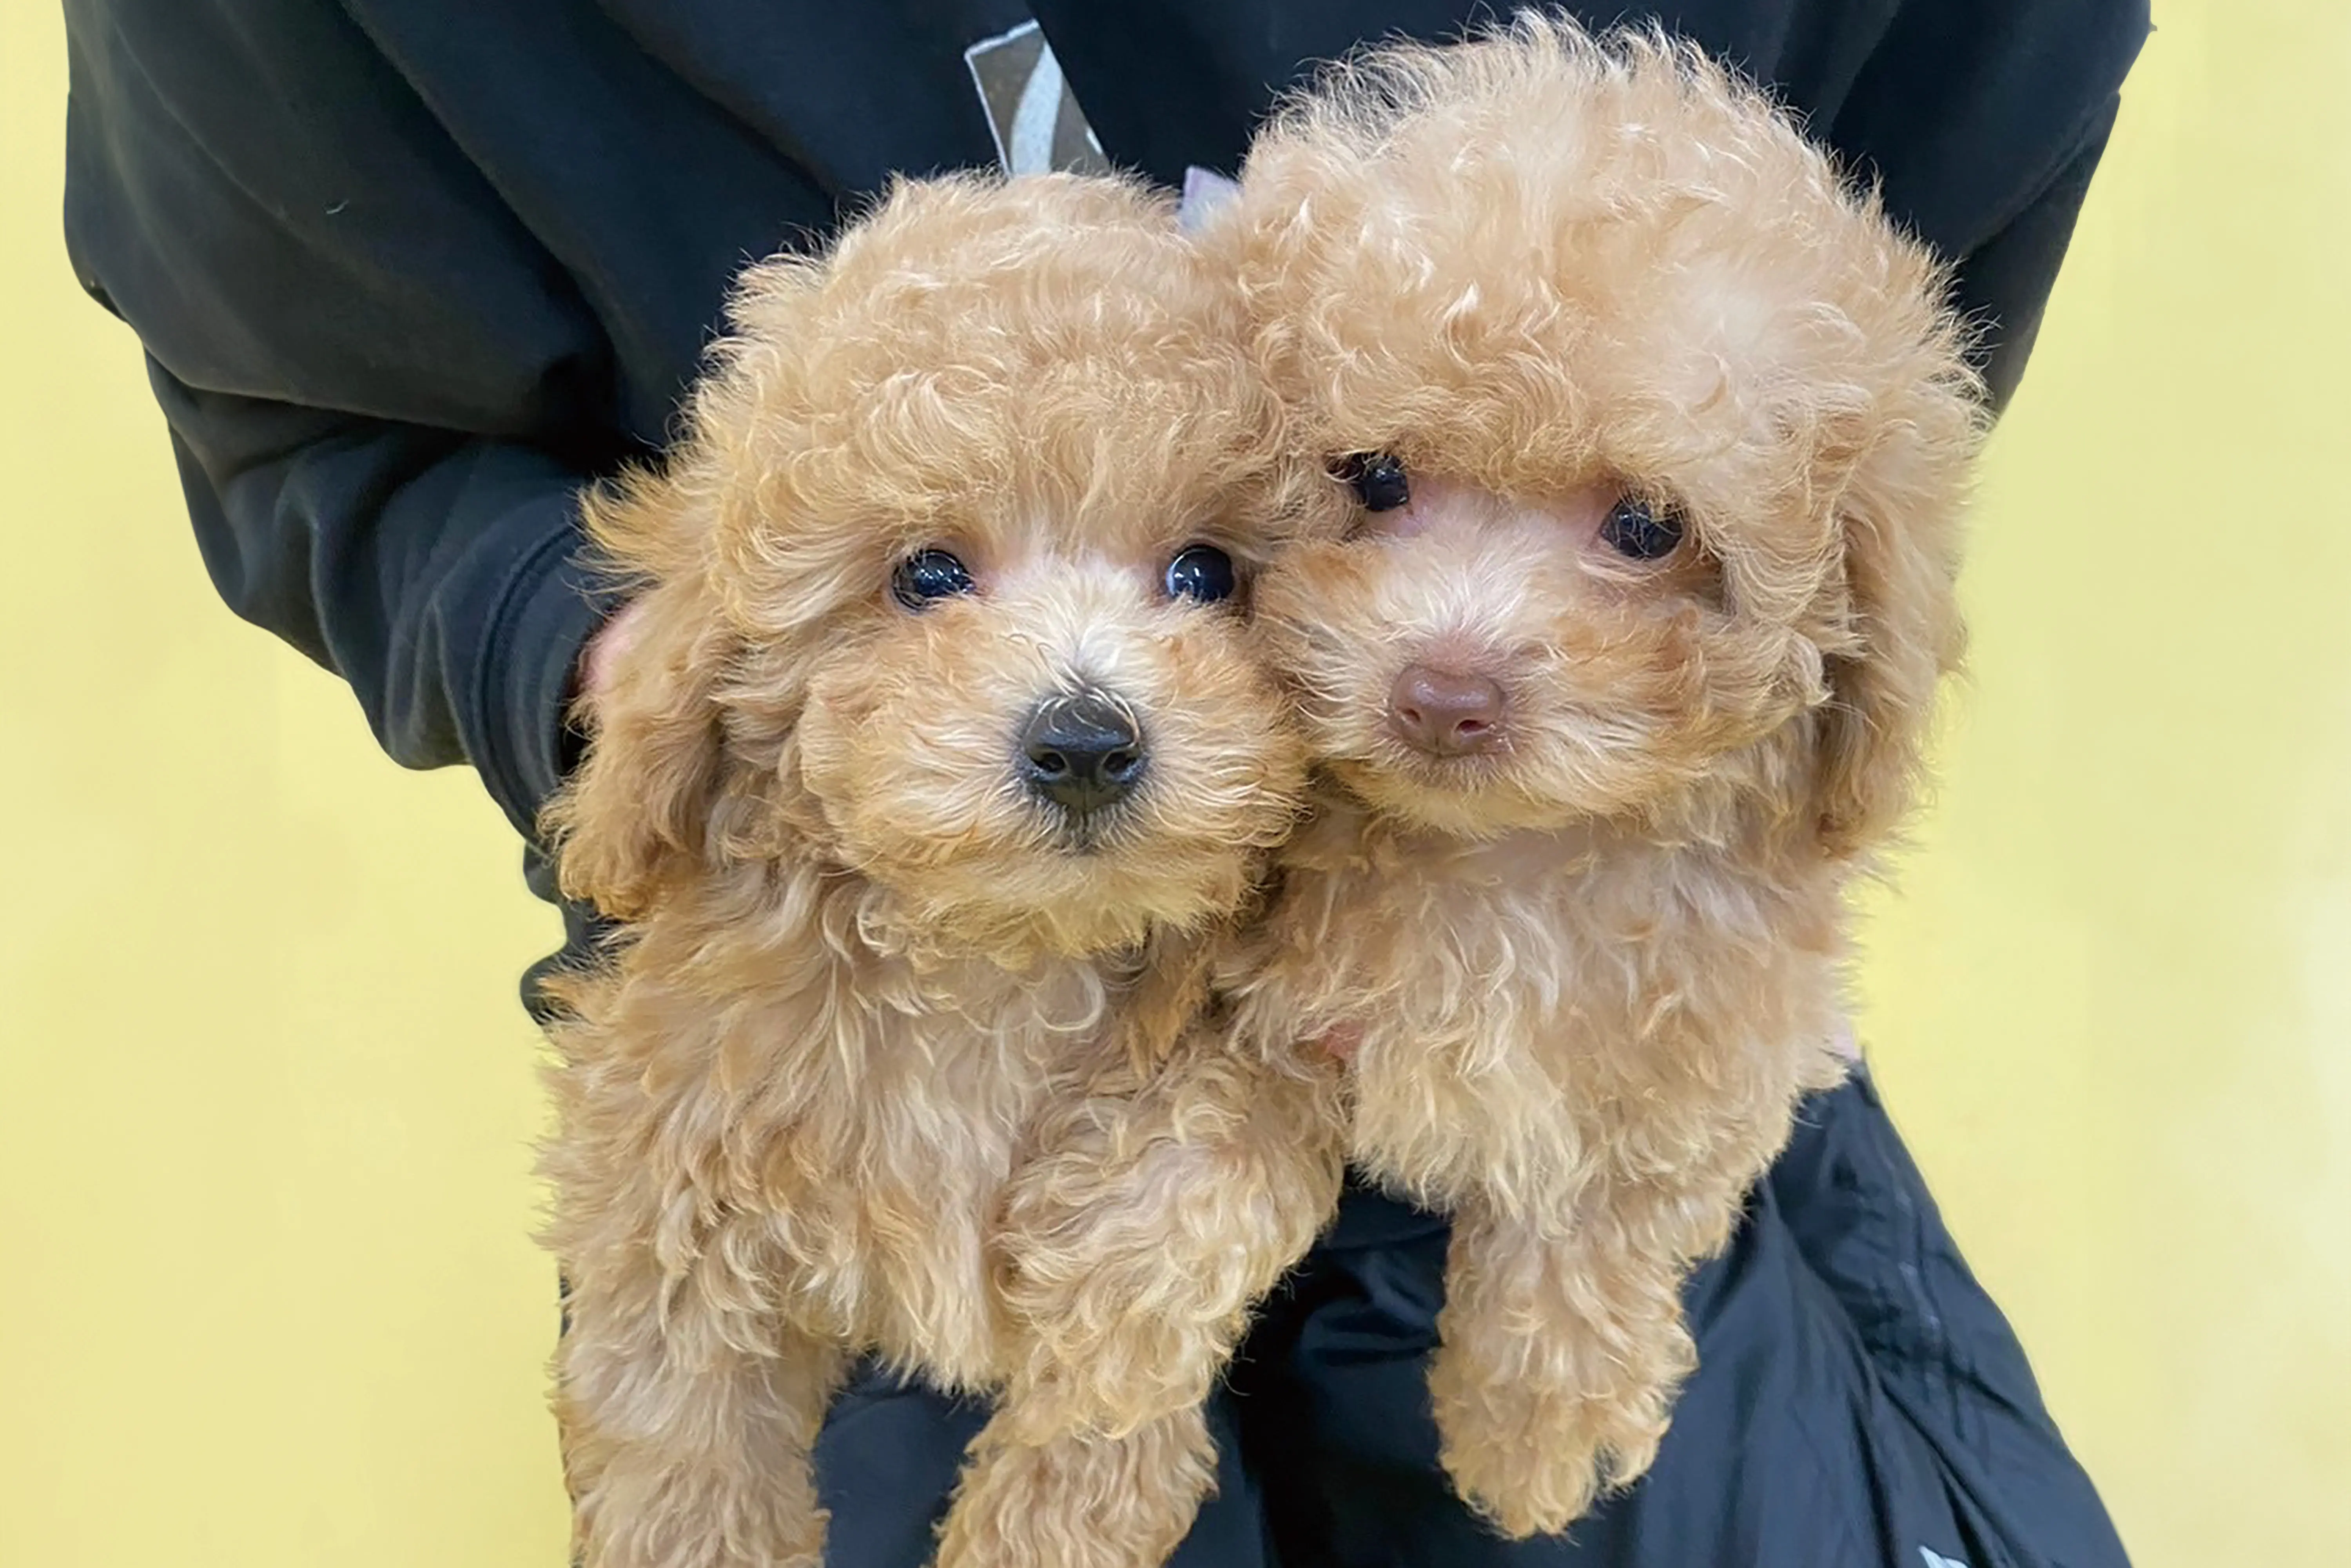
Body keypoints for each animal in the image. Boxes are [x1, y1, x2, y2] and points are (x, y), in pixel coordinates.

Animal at [538, 171, 1335, 1568]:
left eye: (1204, 573)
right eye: (925, 574)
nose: (1085, 744)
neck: (992, 960)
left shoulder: (1266, 1039)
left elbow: (1191, 1200)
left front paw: (1054, 1489)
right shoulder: (669, 1135)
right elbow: (677, 1407)